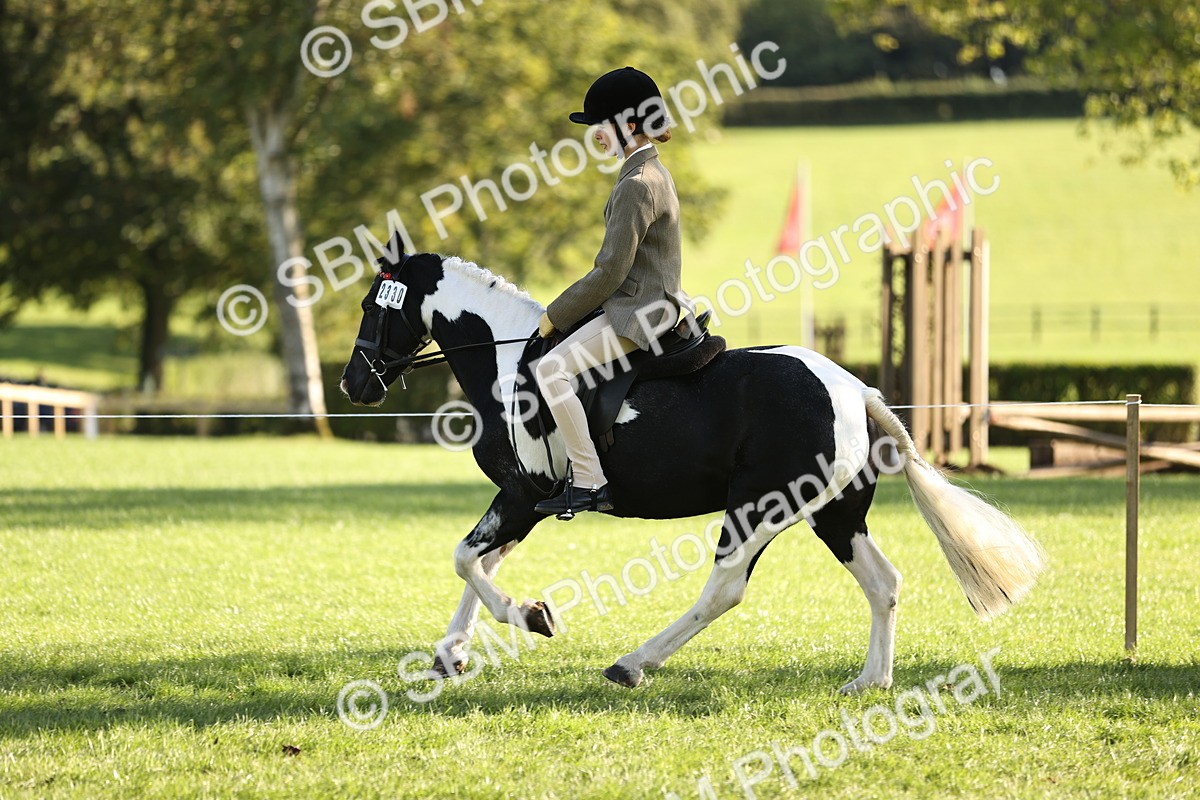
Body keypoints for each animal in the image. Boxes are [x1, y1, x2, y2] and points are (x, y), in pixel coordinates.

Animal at [339, 250, 1046, 693]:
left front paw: (530, 617)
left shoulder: (520, 495)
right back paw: (871, 679)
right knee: (884, 583)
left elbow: (467, 560)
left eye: (375, 305)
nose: (352, 384)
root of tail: (854, 390)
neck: (507, 364)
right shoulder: (525, 502)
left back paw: (632, 664)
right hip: (833, 514)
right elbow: (478, 562)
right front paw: (450, 654)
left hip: (759, 507)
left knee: (725, 588)